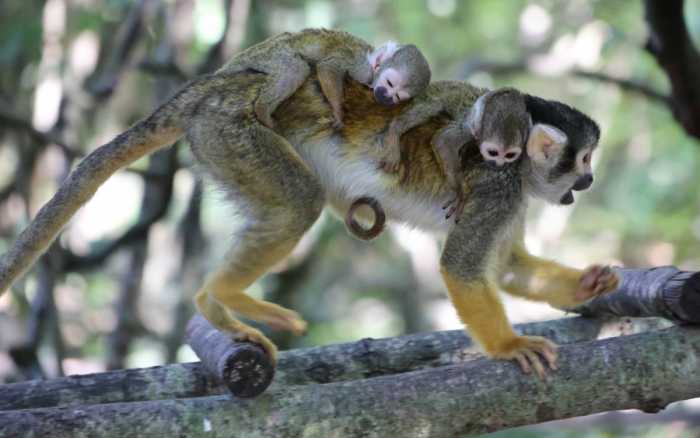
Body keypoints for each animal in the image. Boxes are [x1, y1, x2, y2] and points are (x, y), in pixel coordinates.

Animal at [221, 28, 432, 128]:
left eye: (397, 97)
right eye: (389, 84)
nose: (387, 96)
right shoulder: (361, 68)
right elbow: (328, 68)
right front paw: (338, 111)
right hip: (271, 54)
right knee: (296, 68)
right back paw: (262, 109)